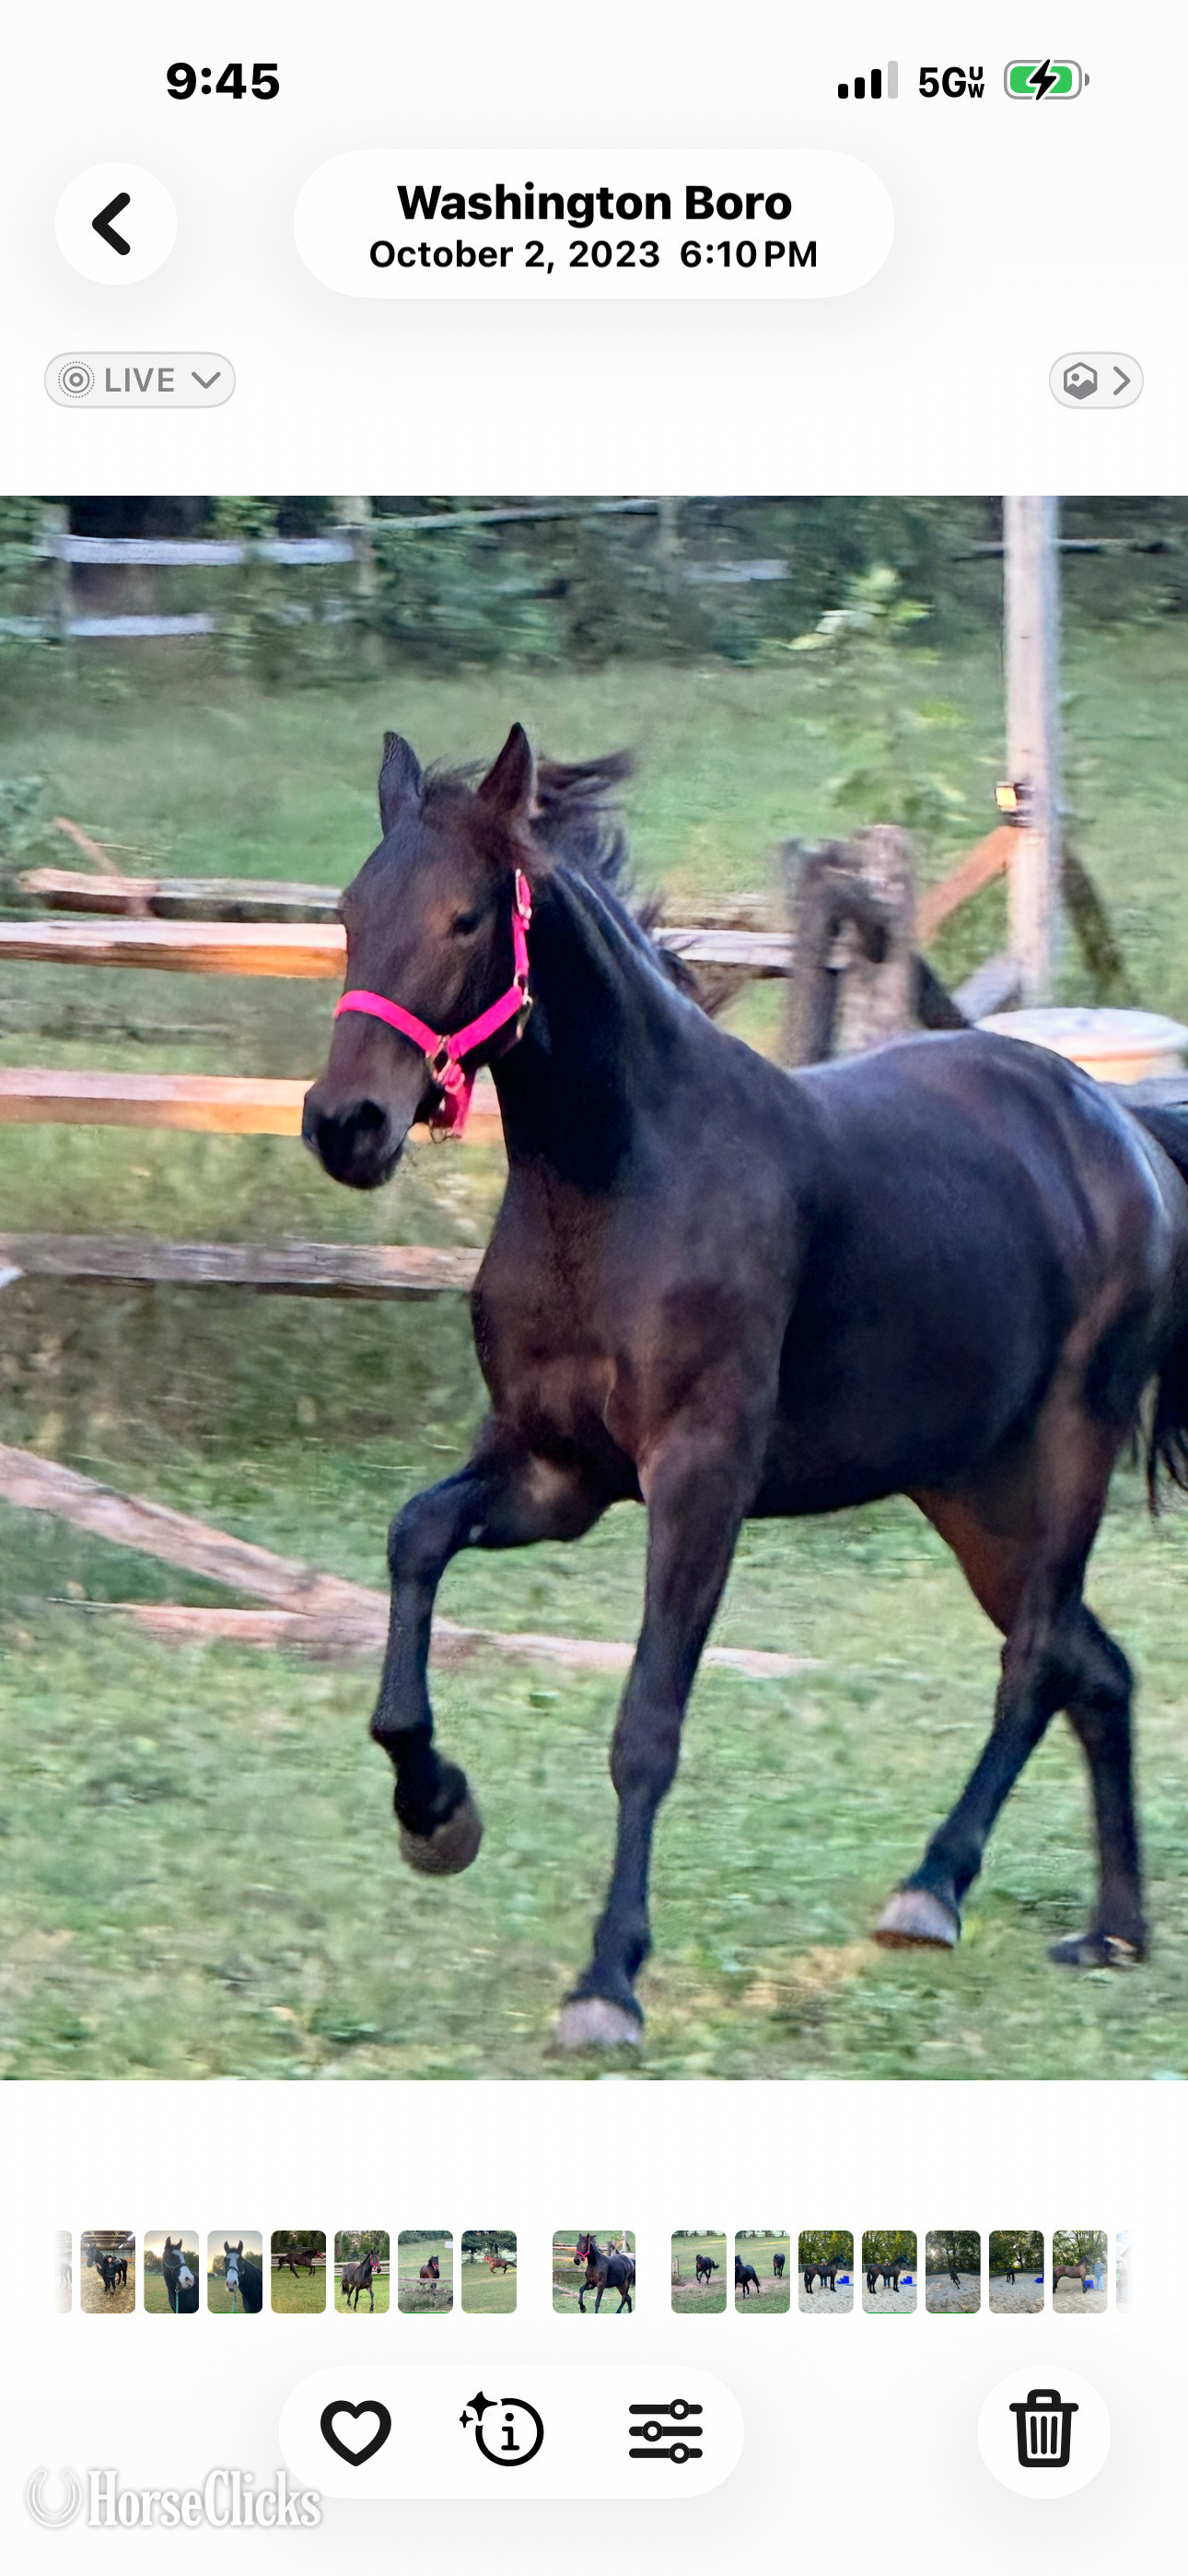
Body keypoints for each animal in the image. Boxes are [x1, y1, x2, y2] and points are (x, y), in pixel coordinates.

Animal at [303, 725, 1188, 2046]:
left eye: (465, 917)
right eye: (352, 912)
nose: (345, 1127)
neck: (617, 1185)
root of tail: (1123, 1123)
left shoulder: (700, 1475)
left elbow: (647, 1724)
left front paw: (607, 1981)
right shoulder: (553, 1472)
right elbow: (414, 1541)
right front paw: (438, 1813)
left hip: (1070, 1449)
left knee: (1036, 1661)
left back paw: (932, 1889)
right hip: (971, 1494)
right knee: (1100, 1669)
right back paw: (1115, 1930)